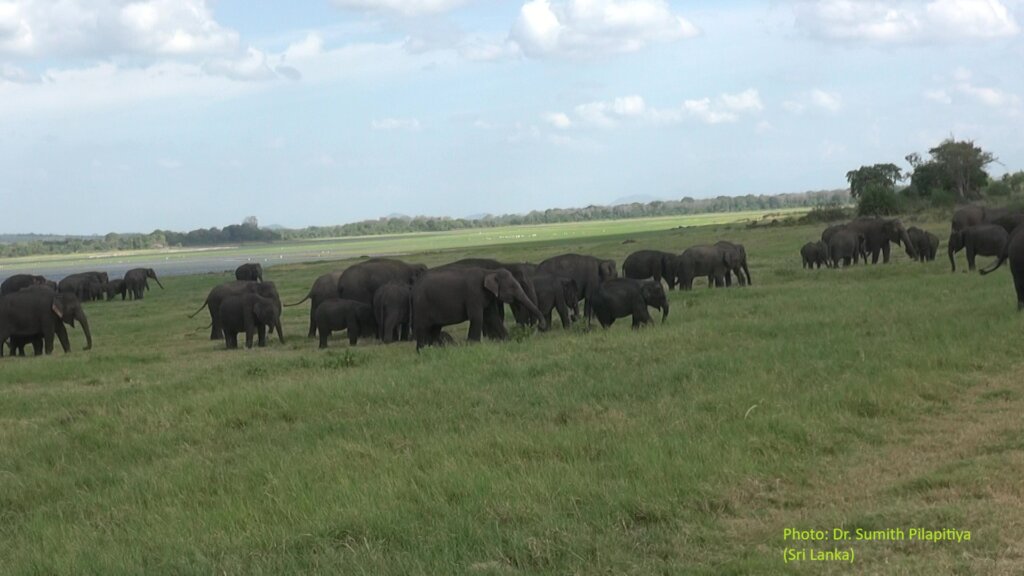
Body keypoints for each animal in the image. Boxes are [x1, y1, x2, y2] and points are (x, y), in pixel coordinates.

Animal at [412, 267, 546, 350]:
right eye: (513, 287)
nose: (540, 326)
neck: (489, 272)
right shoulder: (474, 293)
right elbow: (476, 317)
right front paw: (473, 345)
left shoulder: (488, 296)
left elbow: (493, 317)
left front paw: (508, 340)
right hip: (422, 305)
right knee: (423, 328)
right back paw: (422, 352)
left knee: (435, 328)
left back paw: (435, 349)